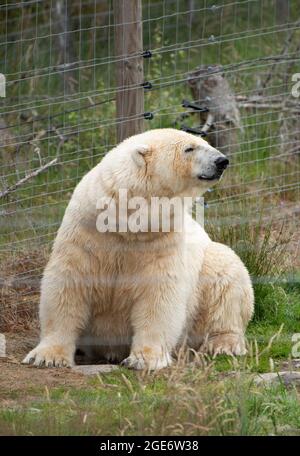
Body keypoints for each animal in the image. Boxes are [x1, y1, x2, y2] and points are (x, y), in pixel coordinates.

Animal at [22, 128, 254, 370]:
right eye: (189, 148)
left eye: (205, 143)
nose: (222, 161)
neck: (126, 222)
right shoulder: (86, 234)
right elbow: (68, 285)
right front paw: (47, 356)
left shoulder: (161, 240)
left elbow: (159, 295)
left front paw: (144, 359)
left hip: (210, 267)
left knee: (228, 278)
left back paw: (223, 344)